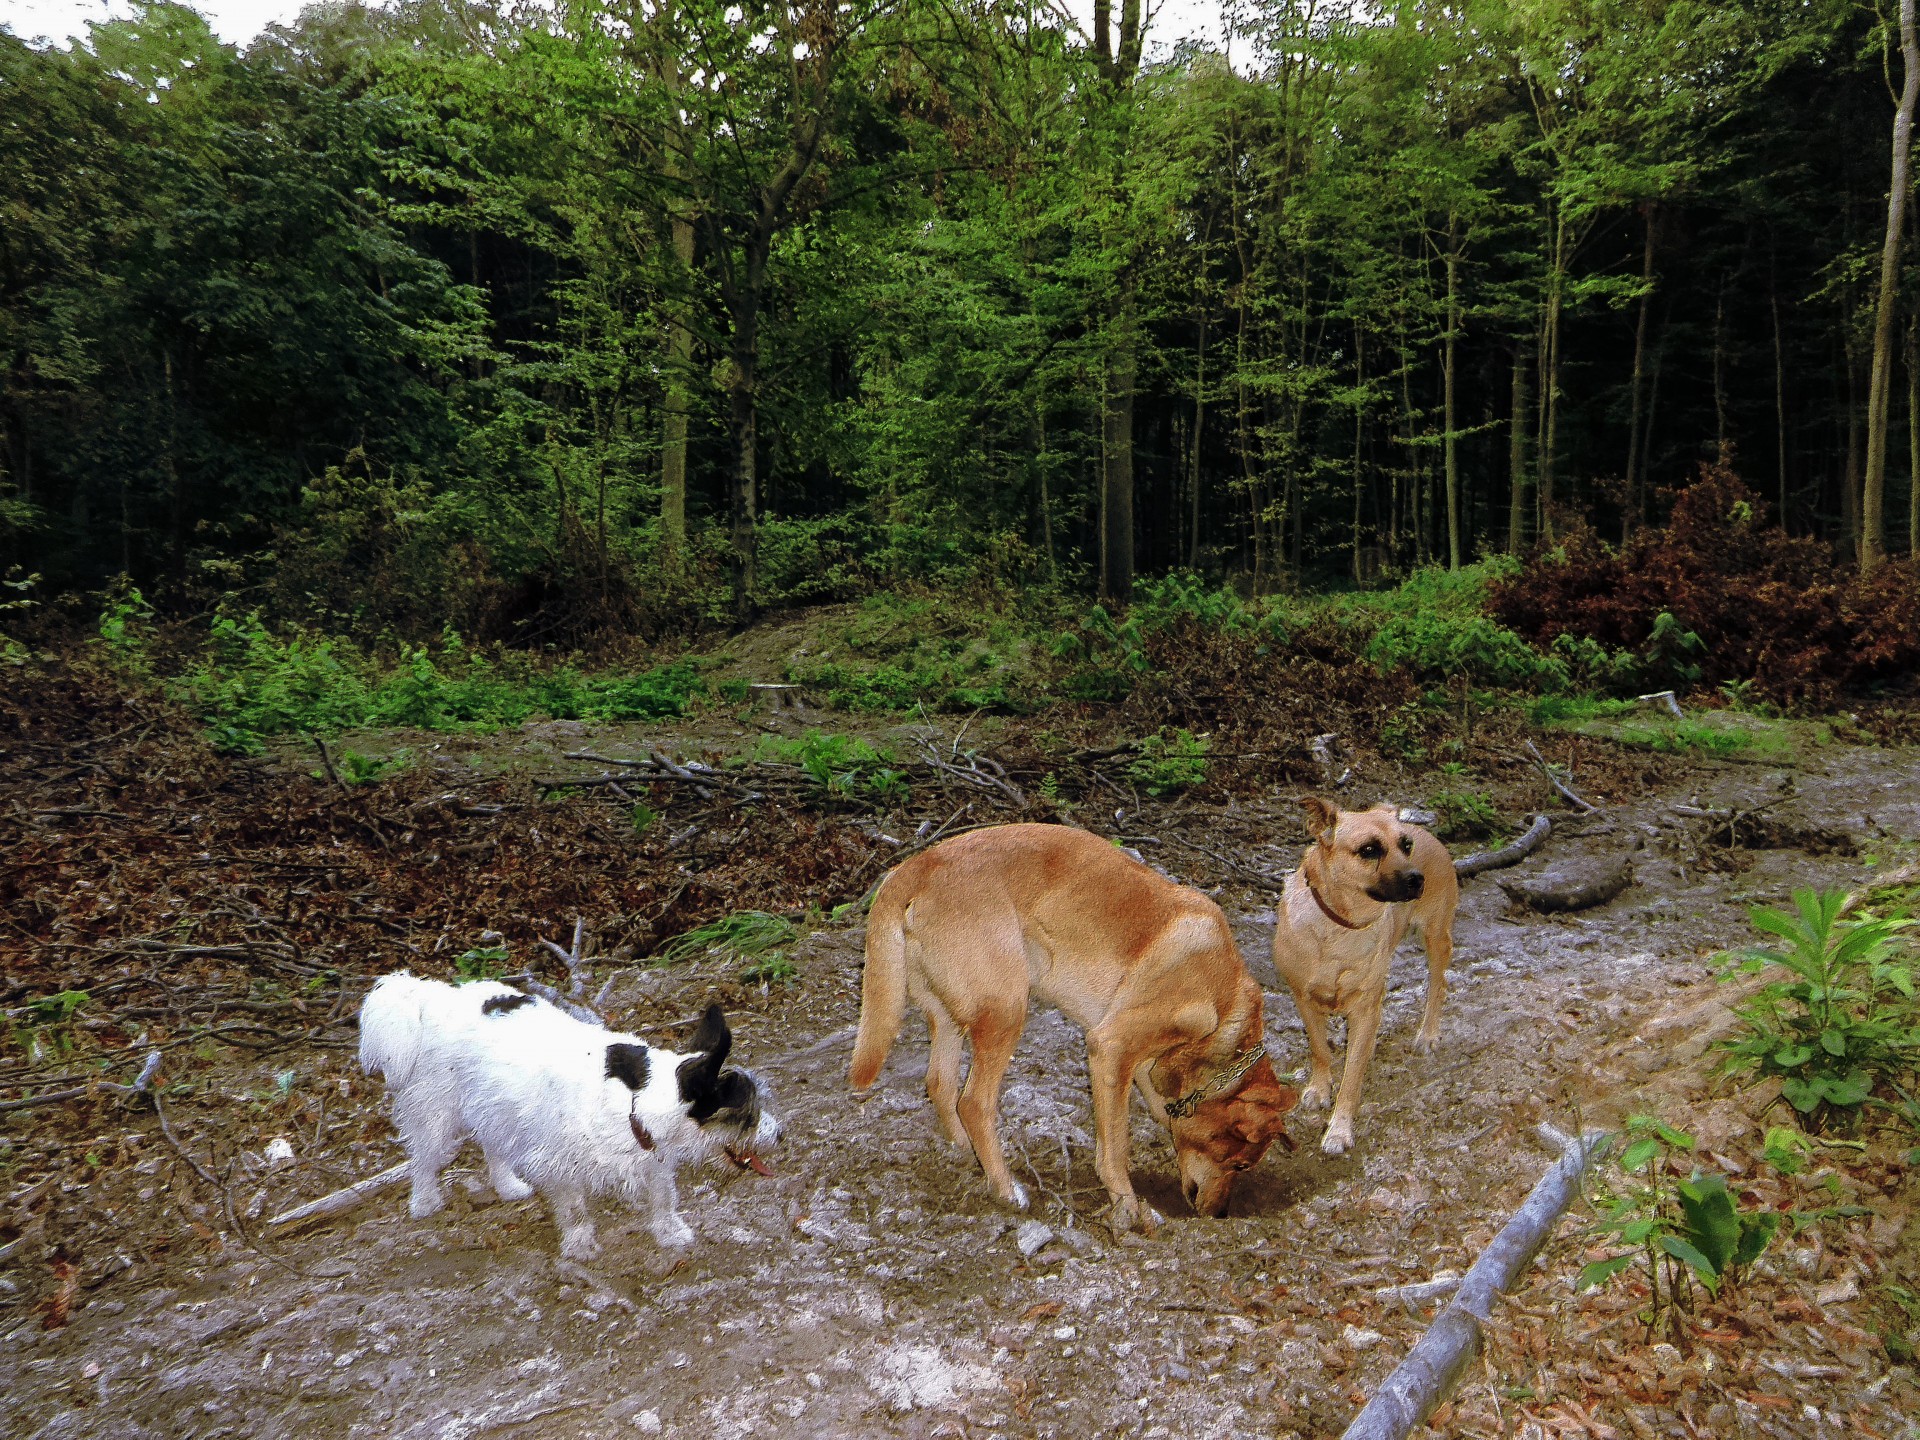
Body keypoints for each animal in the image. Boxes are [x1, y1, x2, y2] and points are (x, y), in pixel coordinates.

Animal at [357, 971, 775, 1259]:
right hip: (439, 1114)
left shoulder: (652, 1156)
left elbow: (663, 1196)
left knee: (493, 1144)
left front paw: (670, 1232)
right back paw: (424, 1201)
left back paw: (507, 1186)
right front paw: (579, 1244)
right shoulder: (559, 1161)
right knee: (424, 1158)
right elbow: (573, 1208)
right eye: (749, 1113)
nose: (780, 1134)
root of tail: (436, 997)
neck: (638, 1097)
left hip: (497, 1104)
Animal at [848, 829, 1297, 1236]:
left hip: (952, 1019)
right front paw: (1129, 1207)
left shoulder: (1136, 1060)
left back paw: (968, 1154)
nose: (1220, 1215)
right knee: (973, 1103)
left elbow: (1156, 1107)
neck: (1223, 1005)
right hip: (1007, 1011)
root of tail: (918, 864)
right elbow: (1115, 1148)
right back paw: (1006, 1189)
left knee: (940, 1085)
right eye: (1239, 1163)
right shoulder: (1111, 1047)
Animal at [1274, 802, 1451, 1159]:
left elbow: (1352, 1078)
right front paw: (1319, 1087)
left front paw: (1339, 1129)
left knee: (1437, 987)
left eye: (1405, 845)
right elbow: (1320, 1049)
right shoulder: (1303, 998)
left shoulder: (1364, 1008)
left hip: (1436, 936)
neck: (1340, 927)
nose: (1417, 879)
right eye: (1369, 850)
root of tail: (1429, 834)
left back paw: (1428, 1033)